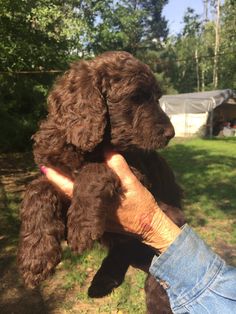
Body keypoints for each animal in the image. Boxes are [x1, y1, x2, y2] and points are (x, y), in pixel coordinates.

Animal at [17, 50, 185, 312]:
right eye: (135, 97)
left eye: (157, 98)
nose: (171, 133)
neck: (89, 146)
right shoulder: (55, 170)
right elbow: (37, 189)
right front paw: (35, 255)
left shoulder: (136, 171)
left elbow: (94, 170)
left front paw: (81, 226)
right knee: (122, 250)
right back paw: (102, 281)